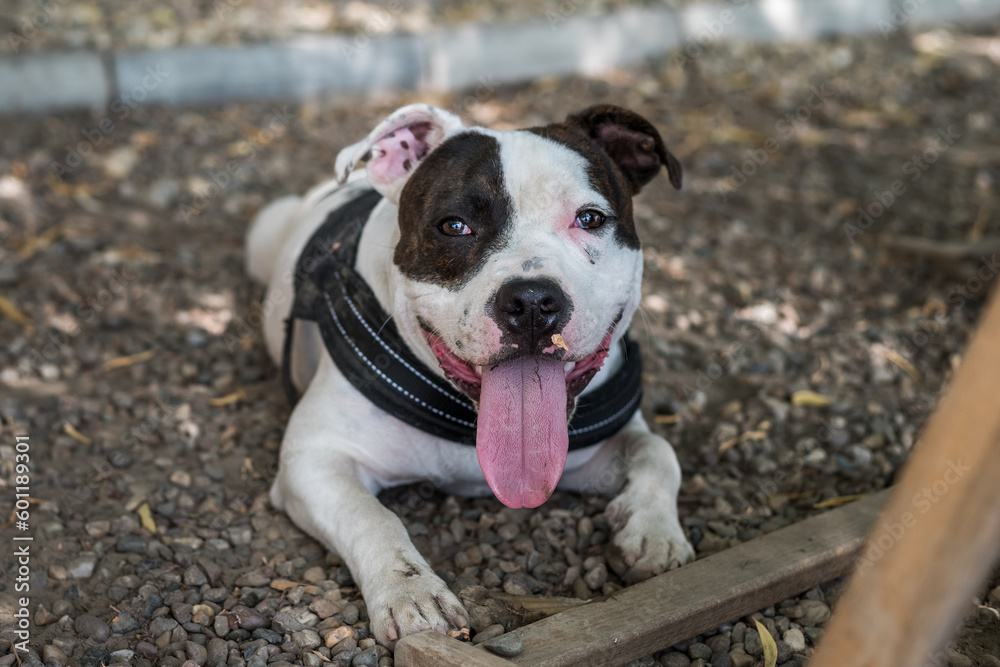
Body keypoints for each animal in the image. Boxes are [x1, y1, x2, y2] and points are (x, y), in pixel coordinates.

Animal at [246, 103, 692, 648]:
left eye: (590, 219)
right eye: (453, 226)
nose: (531, 301)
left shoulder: (594, 450)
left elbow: (658, 451)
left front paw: (653, 530)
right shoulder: (313, 459)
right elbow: (371, 515)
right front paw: (411, 592)